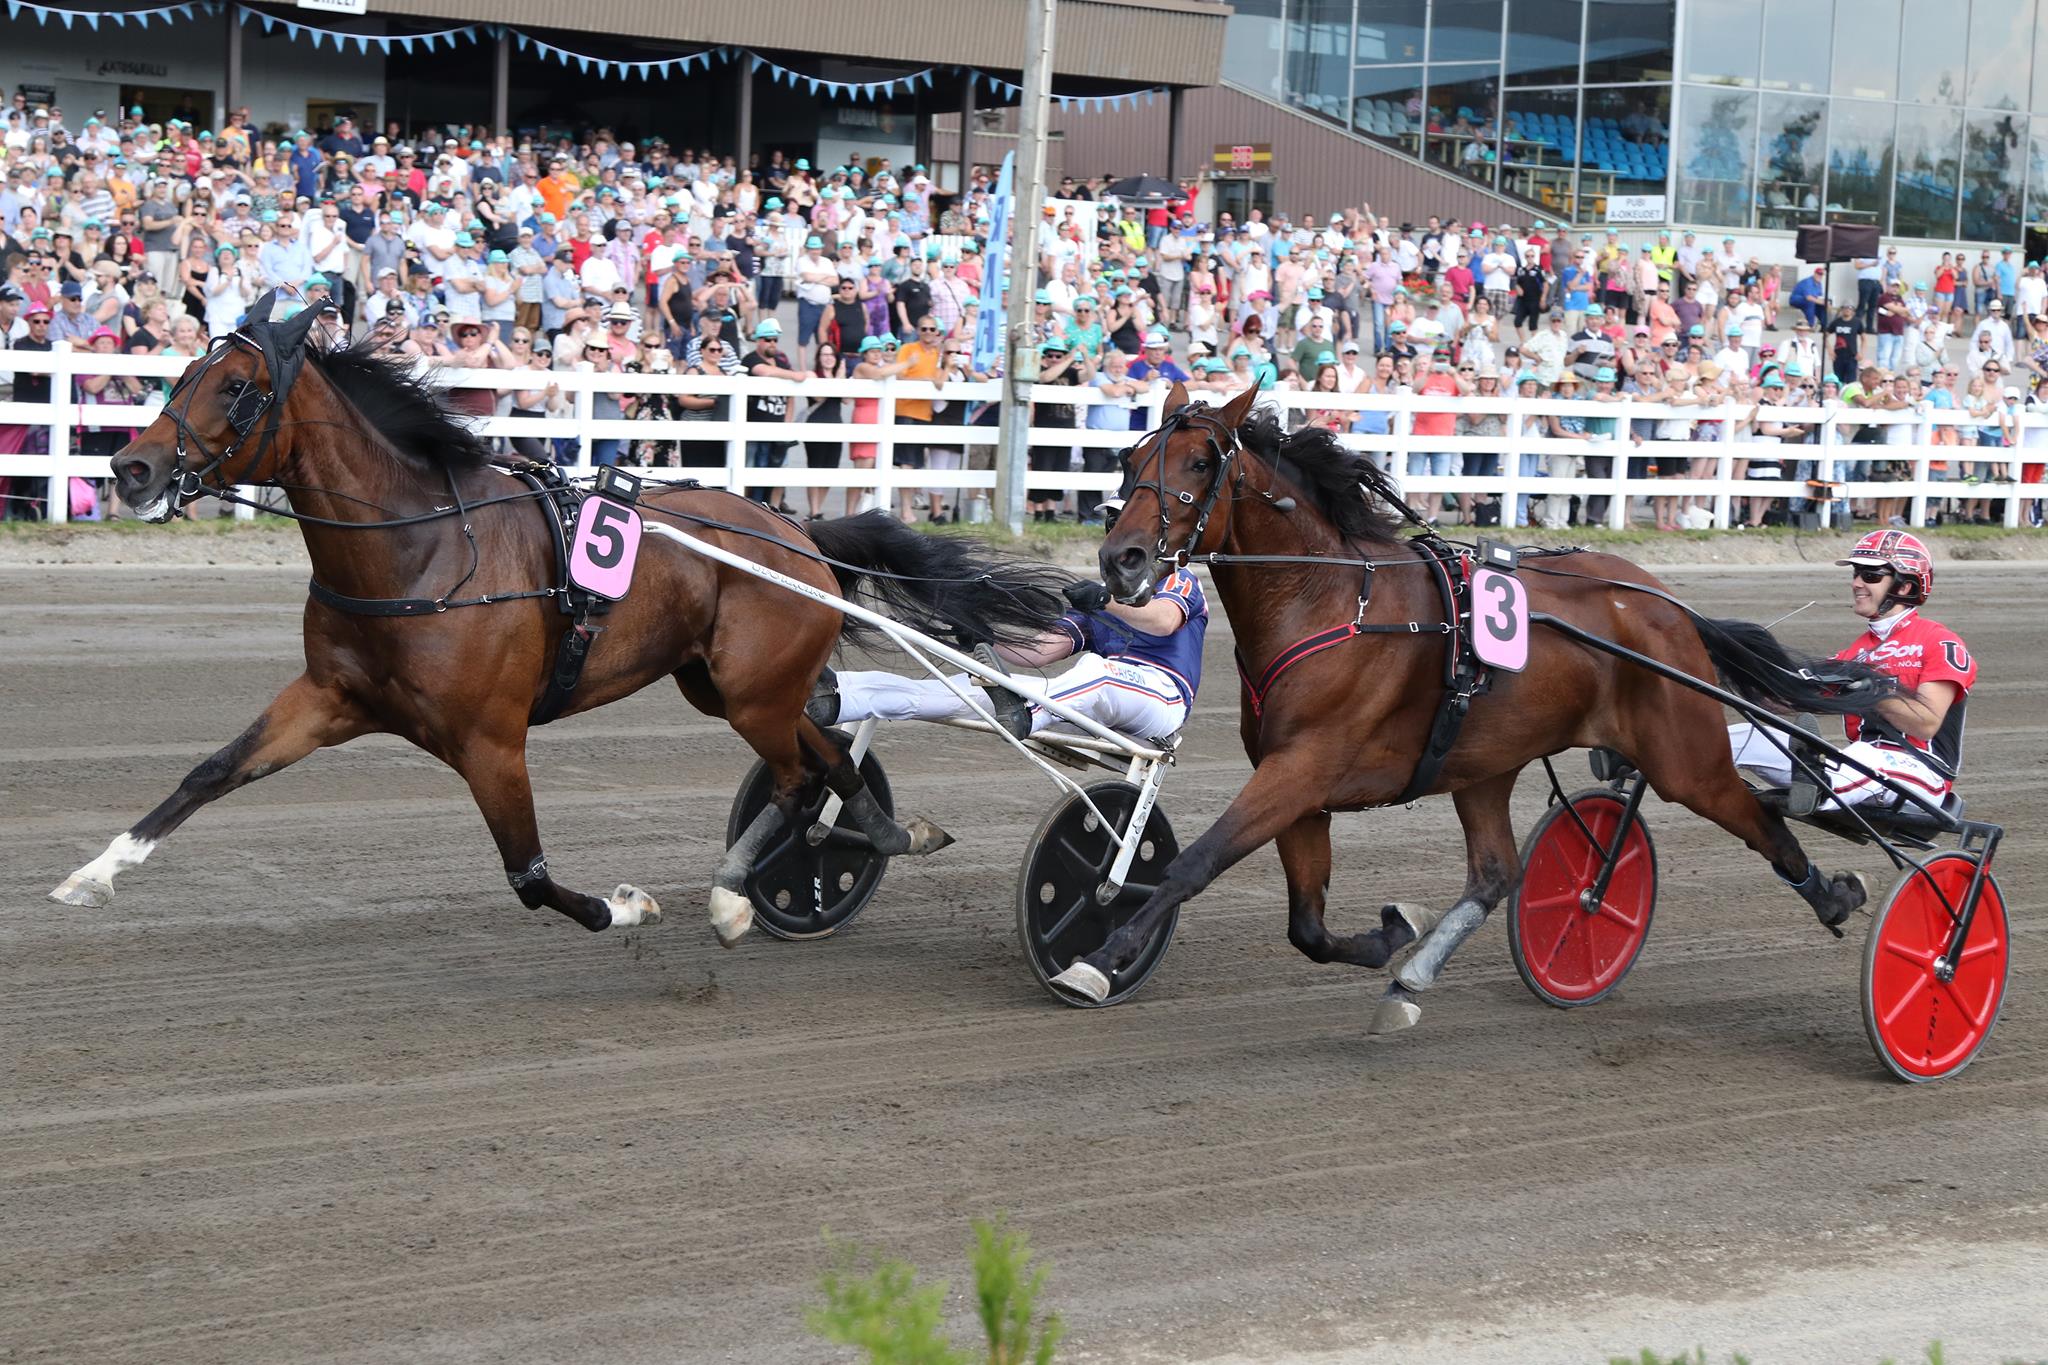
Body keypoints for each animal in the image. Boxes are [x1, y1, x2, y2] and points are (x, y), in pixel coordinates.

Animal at [54, 298, 1064, 941]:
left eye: (236, 388)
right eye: (184, 369)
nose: (131, 470)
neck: (419, 551)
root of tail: (794, 529)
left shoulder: (491, 742)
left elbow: (531, 877)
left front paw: (627, 906)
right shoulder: (329, 698)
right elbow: (210, 771)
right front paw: (91, 874)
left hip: (753, 693)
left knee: (798, 775)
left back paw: (761, 885)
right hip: (726, 689)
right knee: (819, 760)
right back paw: (854, 845)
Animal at [1048, 378, 1892, 1031]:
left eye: (1198, 462)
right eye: (1130, 460)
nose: (1120, 559)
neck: (1328, 600)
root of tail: (1666, 605)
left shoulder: (1301, 769)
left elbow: (1195, 863)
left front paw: (1100, 957)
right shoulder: (1300, 788)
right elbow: (1308, 926)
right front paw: (1391, 936)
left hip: (1686, 758)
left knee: (1760, 821)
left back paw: (1836, 894)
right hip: (1484, 763)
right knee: (1497, 873)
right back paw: (1412, 975)